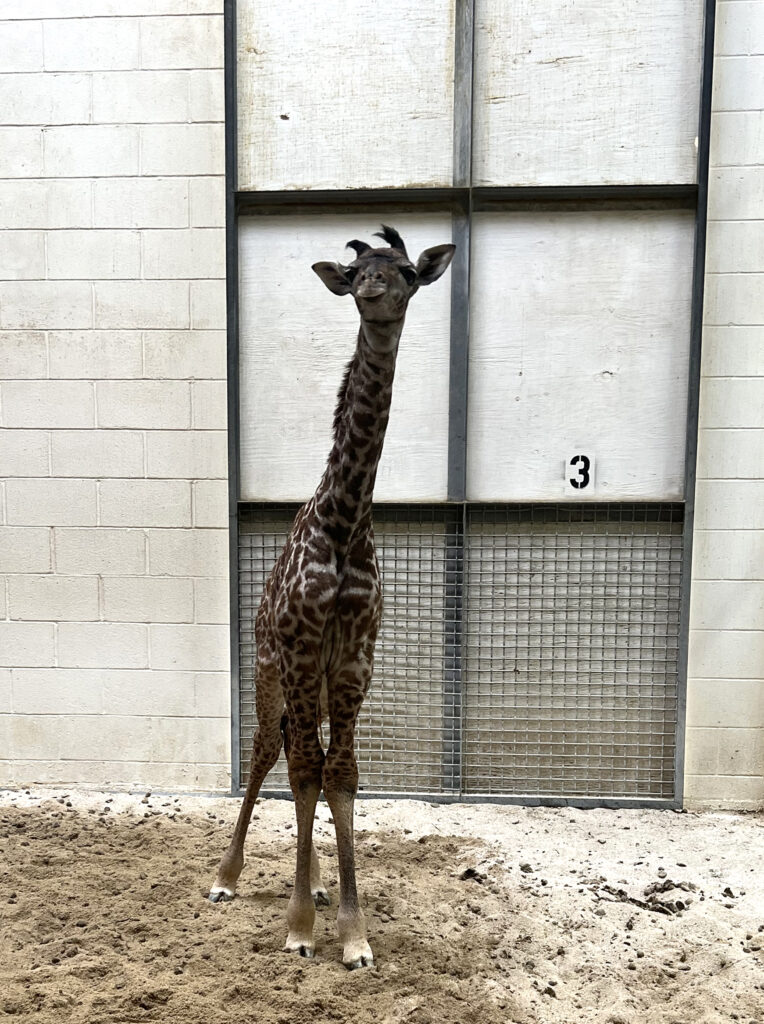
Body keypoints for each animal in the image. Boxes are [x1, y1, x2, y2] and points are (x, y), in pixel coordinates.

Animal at [209, 225, 455, 969]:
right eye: (356, 270)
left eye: (406, 270)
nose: (374, 291)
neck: (344, 522)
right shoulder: (300, 646)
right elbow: (302, 770)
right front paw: (297, 927)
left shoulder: (352, 657)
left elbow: (340, 773)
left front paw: (351, 932)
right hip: (271, 670)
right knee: (270, 752)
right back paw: (227, 876)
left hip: (310, 681)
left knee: (306, 759)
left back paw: (315, 882)